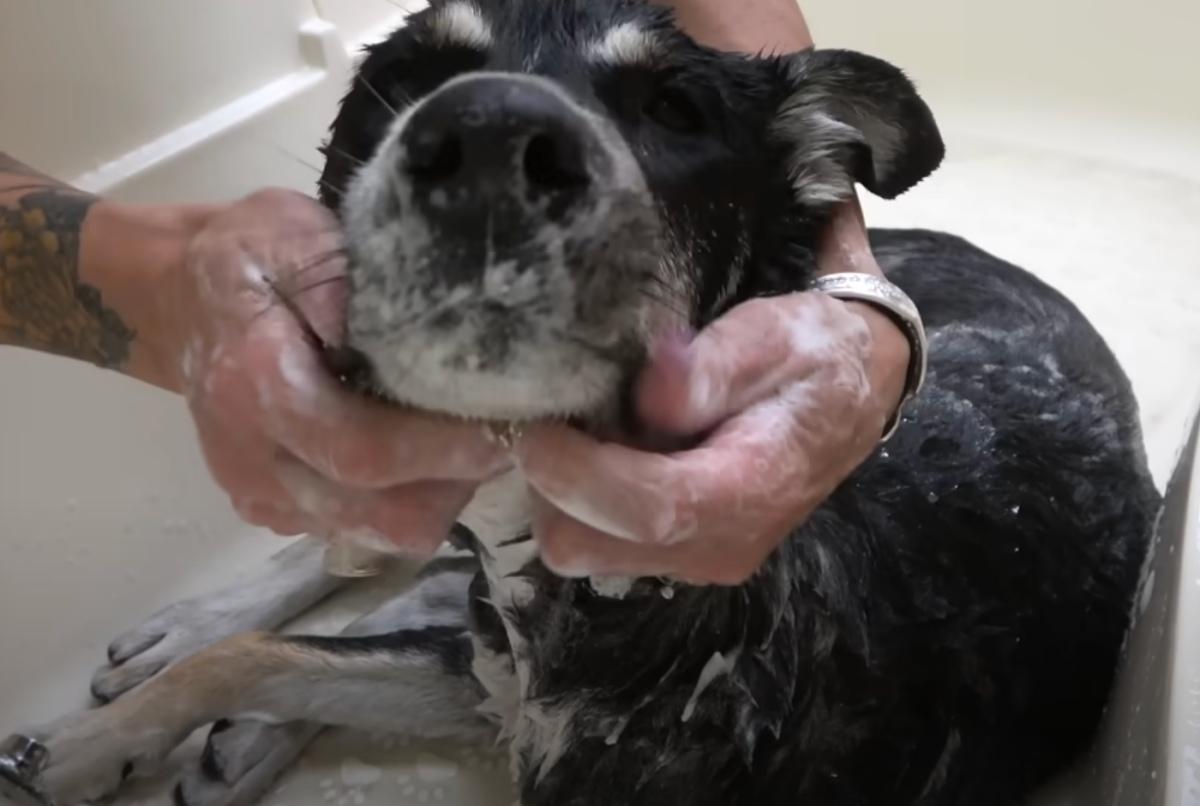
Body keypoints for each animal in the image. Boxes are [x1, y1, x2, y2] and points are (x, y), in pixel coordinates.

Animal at [4, 1, 1156, 806]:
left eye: (676, 110)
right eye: (401, 78)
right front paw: (75, 747)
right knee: (361, 557)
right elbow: (257, 653)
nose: (486, 138)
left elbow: (301, 657)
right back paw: (192, 633)